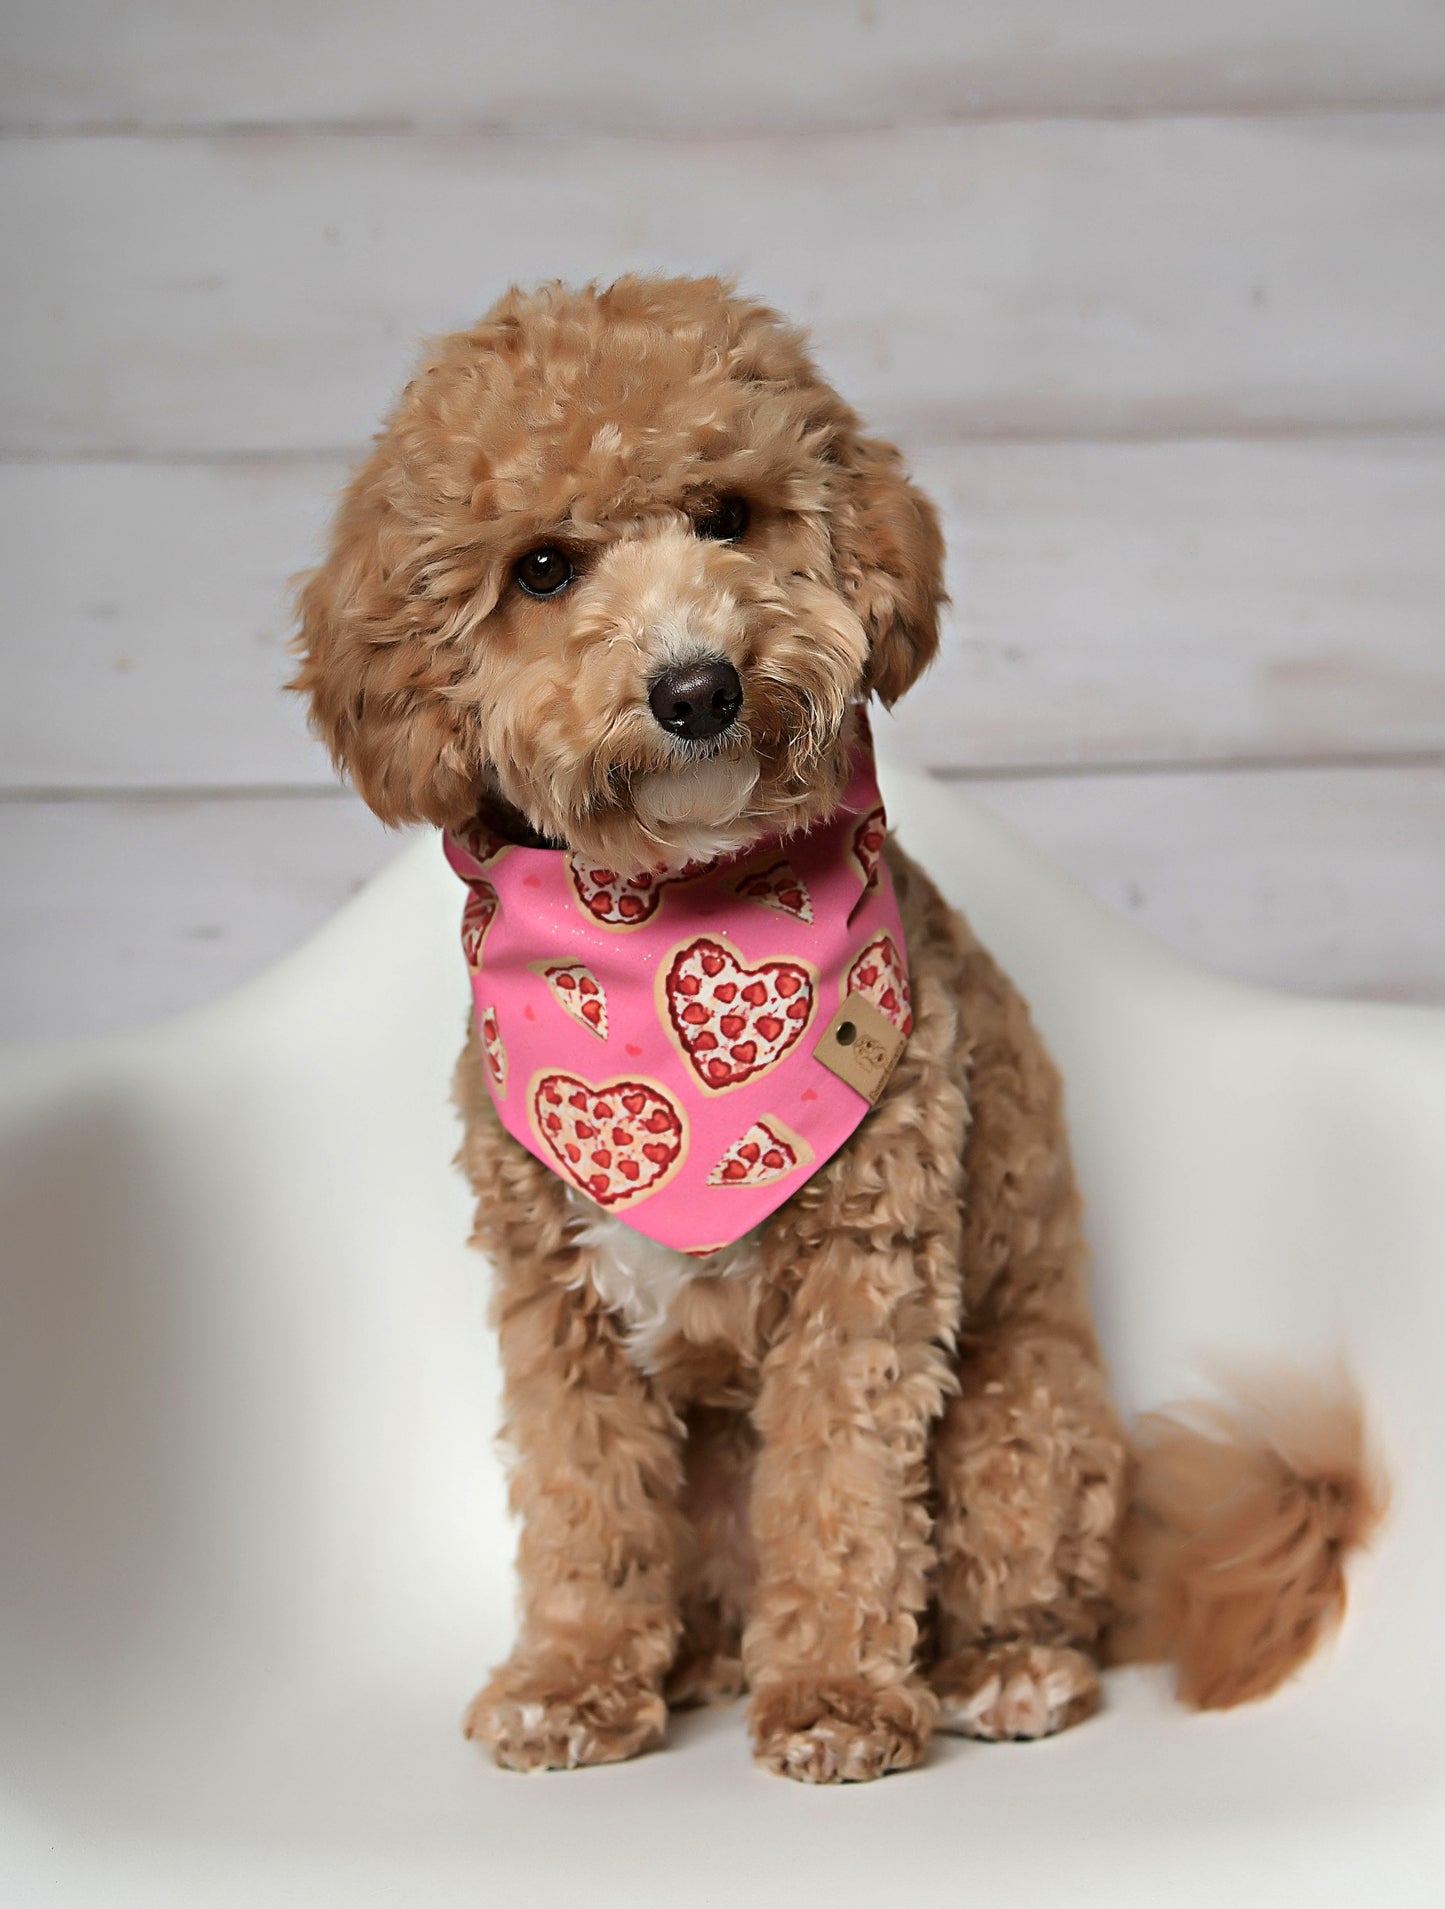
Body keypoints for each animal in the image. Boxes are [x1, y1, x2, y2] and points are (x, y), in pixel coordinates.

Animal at [288, 276, 1382, 1779]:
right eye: (543, 570)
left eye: (726, 514)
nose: (697, 686)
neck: (659, 919)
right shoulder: (550, 1298)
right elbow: (583, 1500)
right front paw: (571, 1680)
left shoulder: (864, 1278)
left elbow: (842, 1491)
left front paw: (837, 1698)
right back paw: (696, 1661)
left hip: (1018, 1425)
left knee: (1030, 1592)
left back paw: (997, 1670)